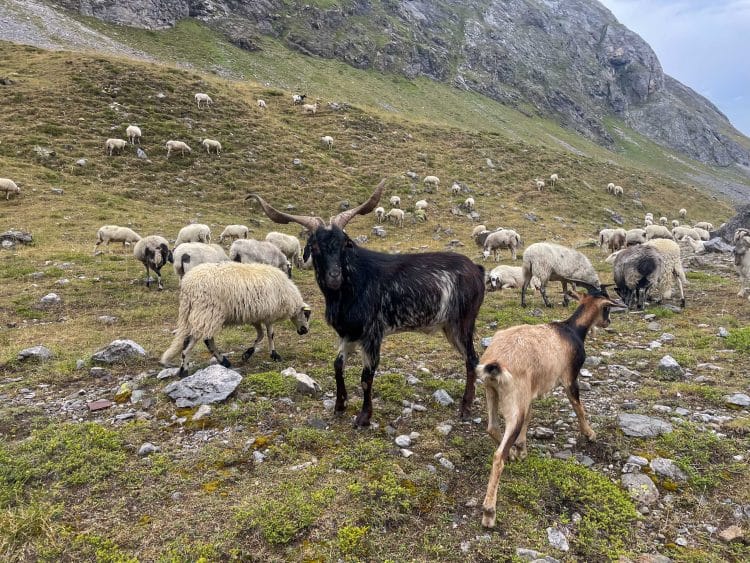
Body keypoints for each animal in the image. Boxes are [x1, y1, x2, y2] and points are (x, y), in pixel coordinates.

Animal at [160, 264, 312, 376]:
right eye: (307, 314)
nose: (305, 331)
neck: (290, 297)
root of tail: (187, 286)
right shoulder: (269, 315)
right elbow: (270, 334)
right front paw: (274, 355)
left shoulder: (256, 317)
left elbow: (261, 335)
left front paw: (247, 354)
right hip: (208, 312)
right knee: (196, 341)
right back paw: (185, 370)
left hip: (201, 314)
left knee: (206, 339)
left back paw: (222, 362)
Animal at [248, 181, 488, 428]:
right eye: (314, 247)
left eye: (345, 243)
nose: (334, 276)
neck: (353, 284)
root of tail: (477, 270)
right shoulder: (348, 333)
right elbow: (337, 366)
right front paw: (339, 406)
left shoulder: (372, 333)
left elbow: (366, 376)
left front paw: (363, 417)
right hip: (449, 325)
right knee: (470, 359)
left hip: (462, 322)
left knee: (472, 359)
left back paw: (465, 407)